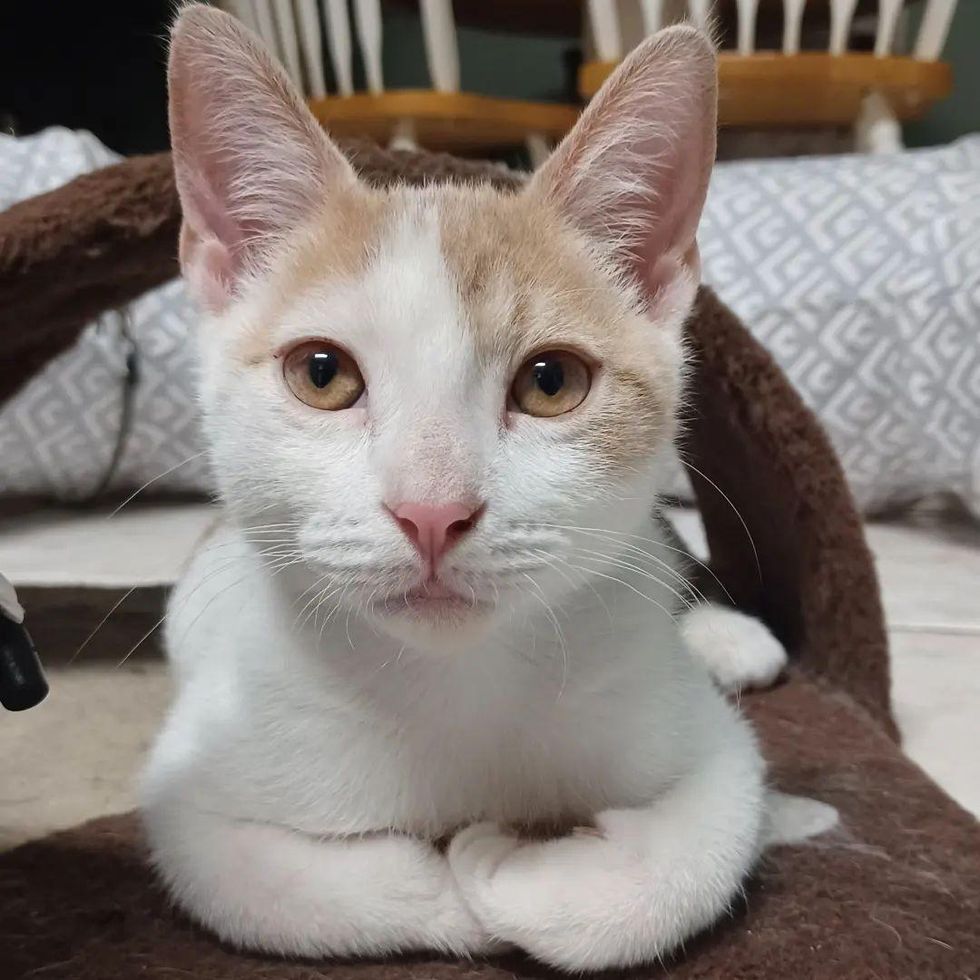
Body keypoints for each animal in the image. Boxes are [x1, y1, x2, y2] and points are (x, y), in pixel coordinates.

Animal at [142, 5, 792, 972]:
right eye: (322, 373)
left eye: (551, 383)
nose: (432, 511)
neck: (456, 685)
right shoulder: (195, 775)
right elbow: (254, 881)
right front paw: (461, 880)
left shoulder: (714, 753)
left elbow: (705, 839)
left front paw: (513, 872)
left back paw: (727, 638)